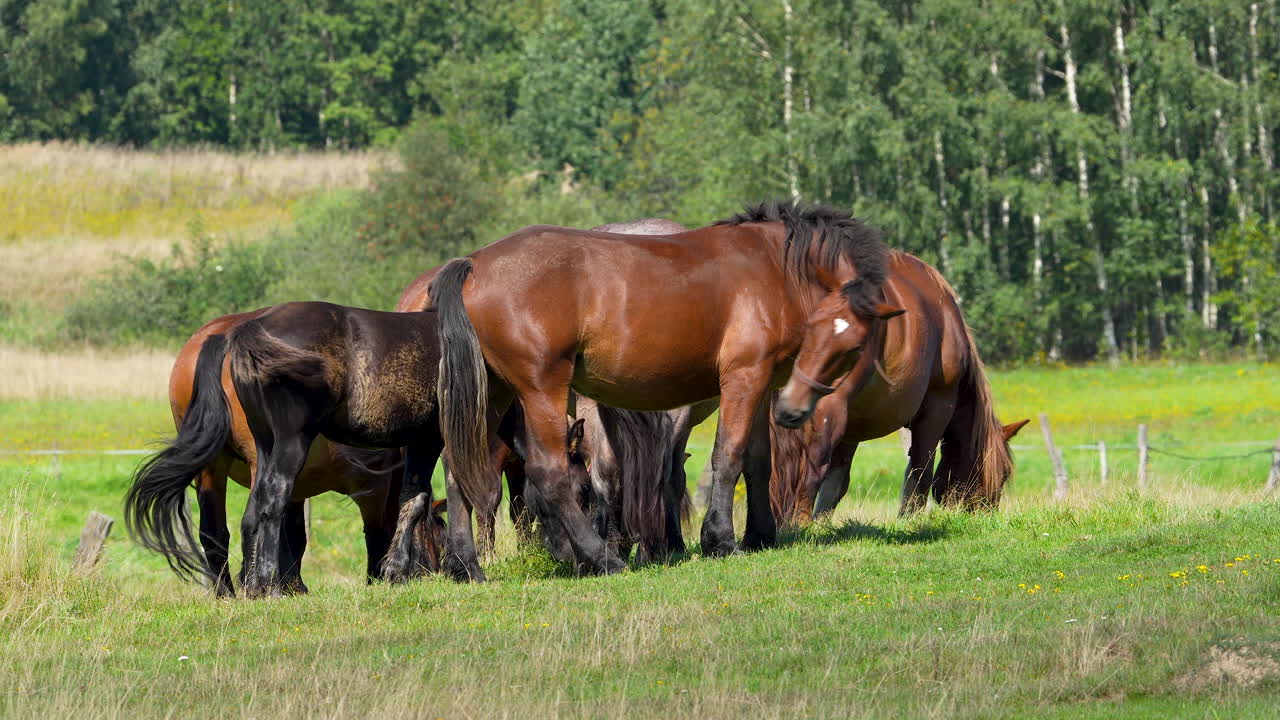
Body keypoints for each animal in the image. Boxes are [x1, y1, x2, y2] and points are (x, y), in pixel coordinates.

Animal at [125, 310, 446, 597]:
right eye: (440, 536)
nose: (434, 573)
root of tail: (222, 337)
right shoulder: (373, 486)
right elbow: (376, 531)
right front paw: (376, 578)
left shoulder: (300, 490)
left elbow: (293, 536)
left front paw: (292, 584)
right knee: (250, 521)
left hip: (212, 468)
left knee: (215, 532)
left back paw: (228, 593)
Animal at [430, 199, 902, 580]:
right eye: (820, 328)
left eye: (852, 344)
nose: (792, 411)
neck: (771, 266)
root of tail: (473, 264)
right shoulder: (743, 378)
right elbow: (727, 458)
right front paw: (719, 540)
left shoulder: (763, 384)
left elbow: (757, 462)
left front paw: (760, 535)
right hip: (541, 390)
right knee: (550, 473)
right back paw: (603, 558)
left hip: (492, 396)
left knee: (457, 470)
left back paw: (467, 566)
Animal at [769, 251, 1030, 523]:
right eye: (1002, 475)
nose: (985, 517)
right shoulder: (938, 406)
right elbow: (920, 470)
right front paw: (910, 519)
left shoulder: (853, 421)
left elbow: (836, 481)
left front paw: (822, 523)